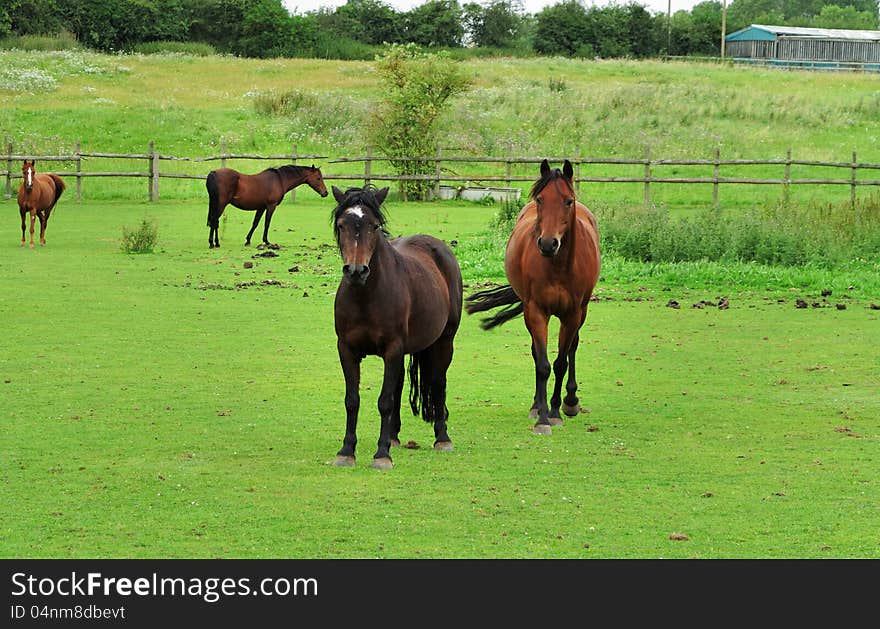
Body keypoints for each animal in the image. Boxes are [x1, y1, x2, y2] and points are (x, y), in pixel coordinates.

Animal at [332, 184, 468, 468]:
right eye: (341, 225)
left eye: (373, 226)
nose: (356, 271)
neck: (366, 296)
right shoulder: (347, 350)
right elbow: (352, 400)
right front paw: (347, 451)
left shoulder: (393, 349)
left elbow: (385, 400)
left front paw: (381, 455)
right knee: (399, 386)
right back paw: (393, 436)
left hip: (444, 342)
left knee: (438, 383)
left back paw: (442, 438)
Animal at [464, 158, 600, 432]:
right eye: (540, 199)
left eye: (568, 201)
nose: (548, 243)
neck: (558, 267)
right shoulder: (536, 311)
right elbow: (543, 364)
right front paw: (543, 416)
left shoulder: (572, 314)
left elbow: (560, 363)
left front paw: (556, 411)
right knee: (539, 353)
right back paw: (538, 405)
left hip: (581, 312)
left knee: (572, 349)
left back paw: (571, 401)